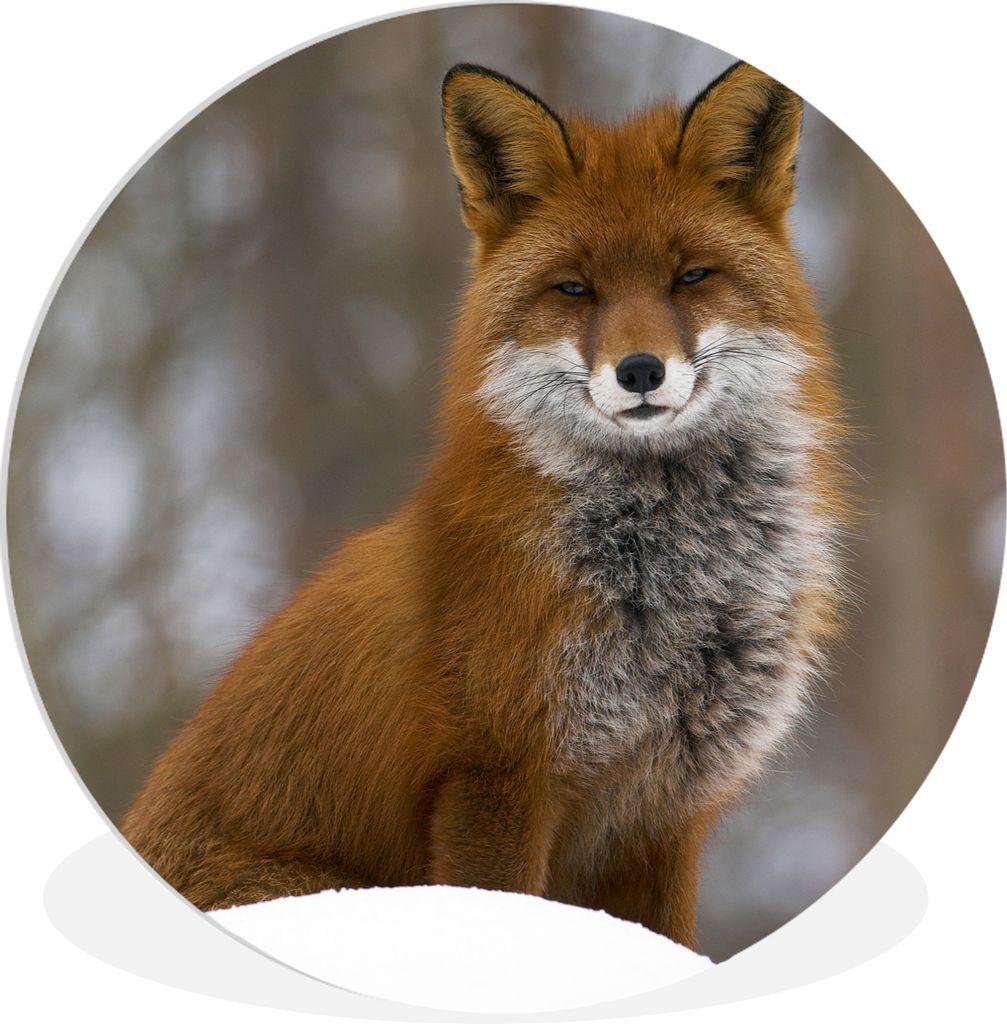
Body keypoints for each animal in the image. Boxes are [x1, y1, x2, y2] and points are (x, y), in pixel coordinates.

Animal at [120, 60, 847, 951]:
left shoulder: (662, 813)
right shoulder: (493, 775)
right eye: (573, 288)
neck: (673, 592)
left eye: (690, 276)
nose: (640, 371)